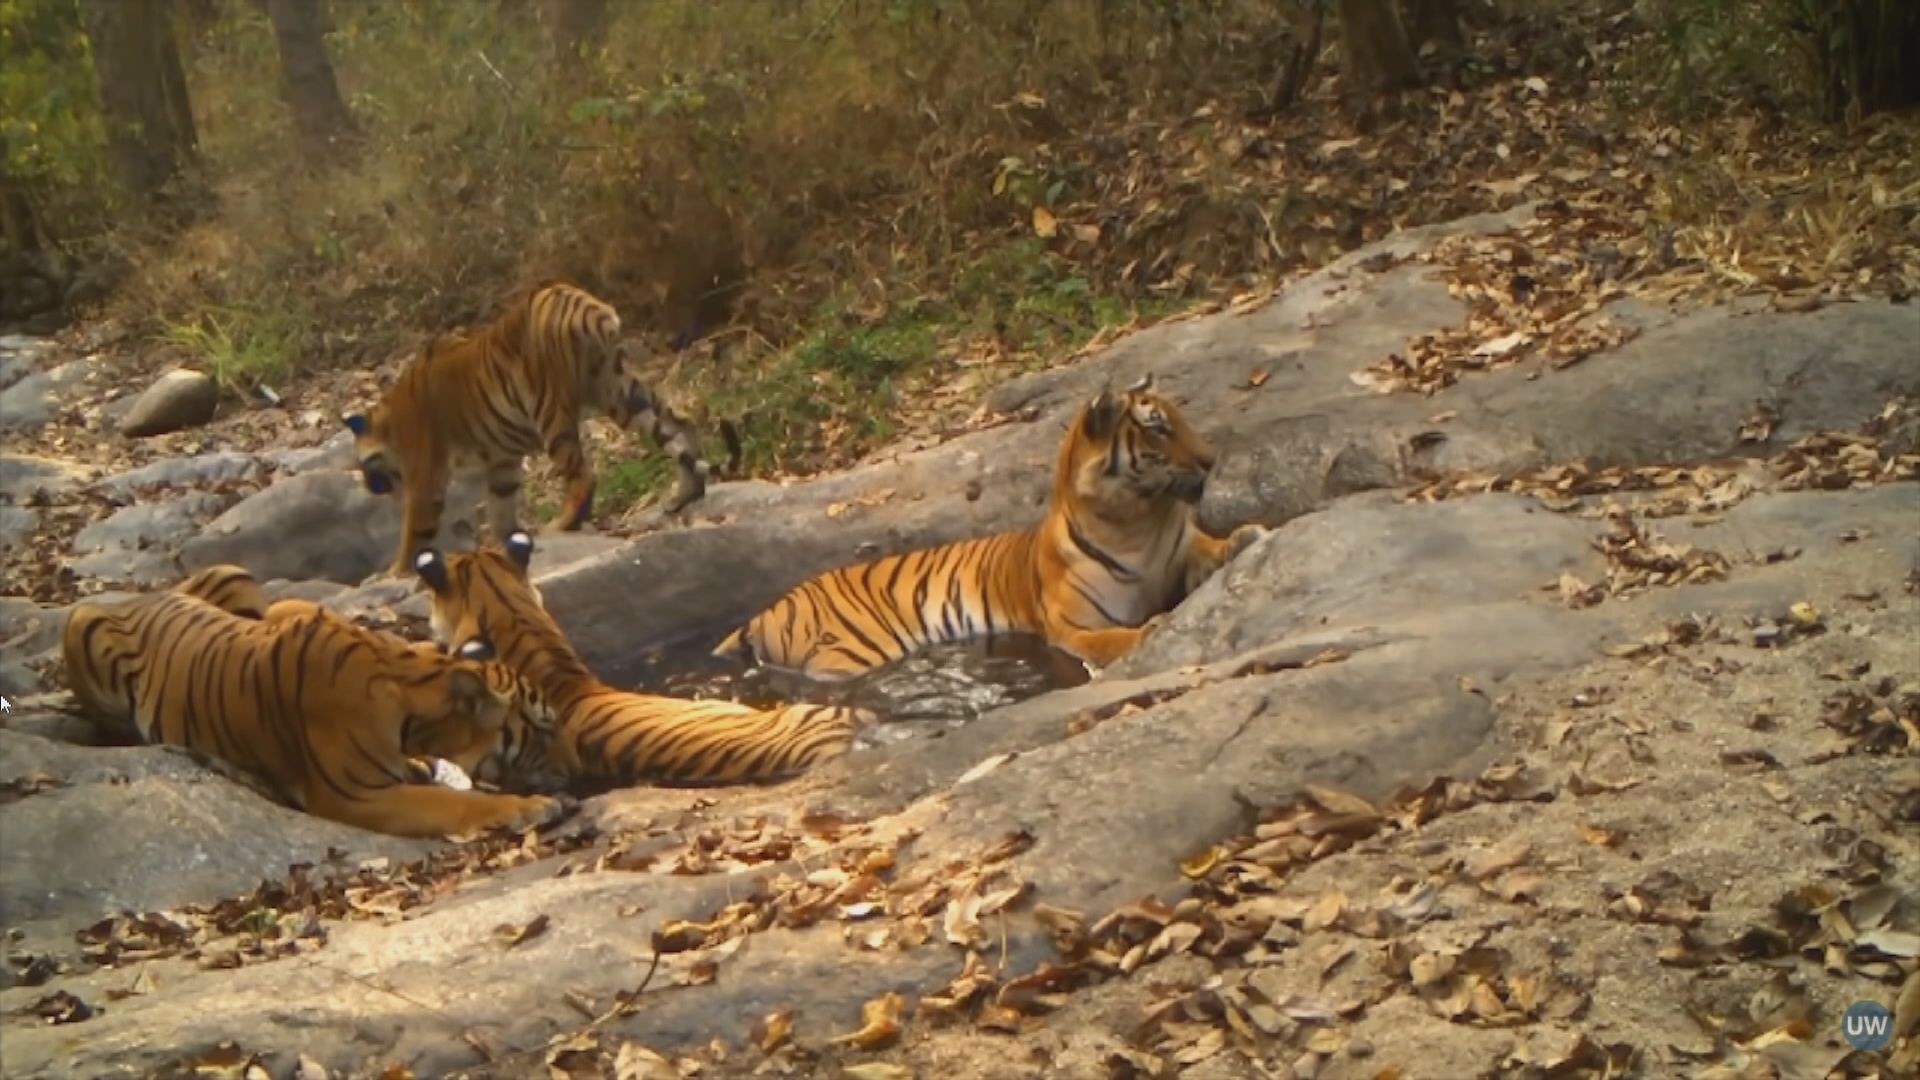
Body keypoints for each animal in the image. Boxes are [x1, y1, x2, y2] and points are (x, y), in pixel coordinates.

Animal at [61, 568, 568, 837]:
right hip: (82, 622)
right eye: (544, 726)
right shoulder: (353, 795)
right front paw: (529, 807)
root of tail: (146, 593)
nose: (575, 769)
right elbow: (450, 803)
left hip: (238, 578)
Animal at [341, 282, 729, 576]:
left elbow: (414, 528)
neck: (390, 419)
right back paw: (685, 494)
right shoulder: (502, 461)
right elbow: (500, 507)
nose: (371, 488)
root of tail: (588, 305)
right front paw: (509, 544)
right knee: (679, 424)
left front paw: (394, 572)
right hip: (620, 392)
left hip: (552, 412)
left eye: (363, 465)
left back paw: (562, 524)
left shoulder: (425, 474)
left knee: (583, 475)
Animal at [714, 368, 1267, 672]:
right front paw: (1151, 630)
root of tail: (768, 610)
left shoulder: (1180, 550)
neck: (1137, 522)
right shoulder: (1071, 625)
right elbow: (1112, 639)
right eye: (1158, 429)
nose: (1212, 459)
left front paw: (1245, 537)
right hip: (846, 655)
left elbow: (1209, 547)